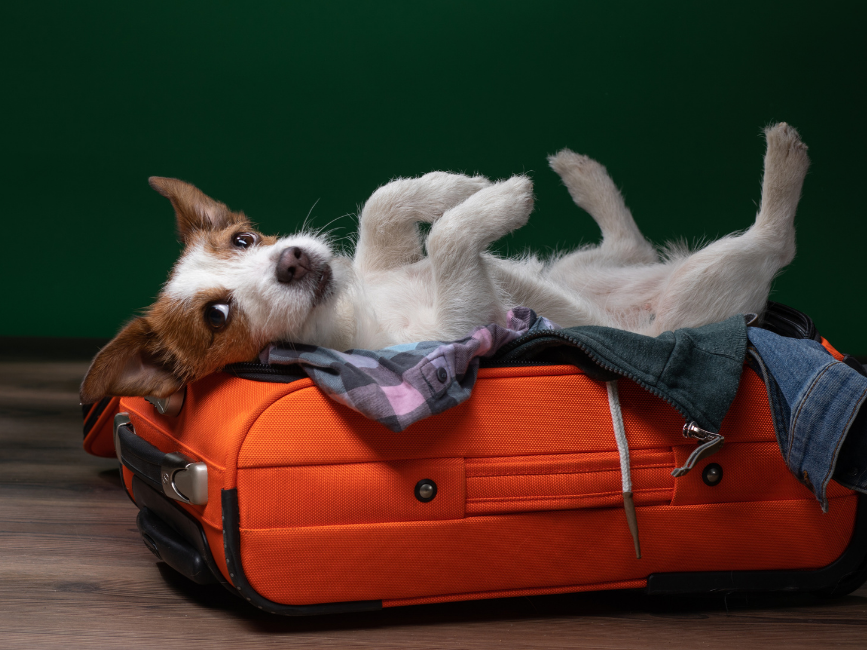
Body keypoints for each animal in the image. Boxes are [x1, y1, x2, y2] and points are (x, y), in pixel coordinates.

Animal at [78, 123, 812, 402]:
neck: (352, 307)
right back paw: (785, 158)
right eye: (217, 317)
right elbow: (447, 242)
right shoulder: (463, 322)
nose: (290, 261)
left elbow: (384, 206)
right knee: (775, 241)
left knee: (628, 245)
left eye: (242, 239)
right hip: (702, 291)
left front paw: (457, 185)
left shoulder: (383, 253)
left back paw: (582, 173)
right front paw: (500, 199)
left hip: (587, 268)